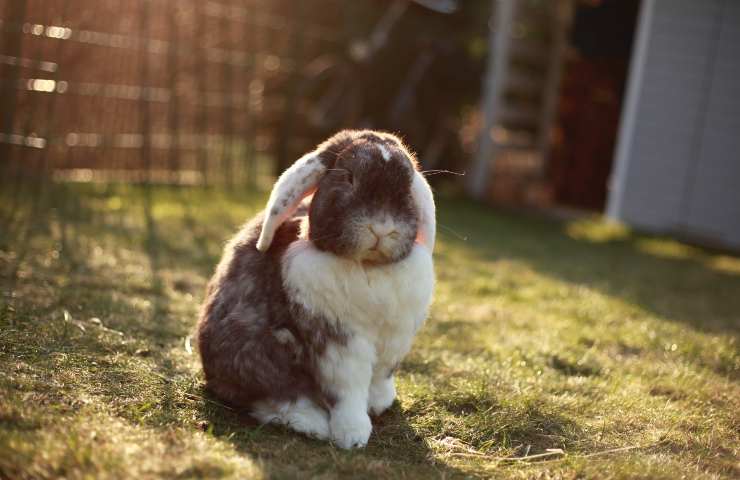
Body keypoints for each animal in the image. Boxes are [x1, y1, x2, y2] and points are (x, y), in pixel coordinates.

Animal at [197, 129, 436, 448]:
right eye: (349, 177)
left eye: (408, 185)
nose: (382, 228)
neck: (368, 267)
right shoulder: (337, 341)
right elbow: (348, 389)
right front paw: (353, 435)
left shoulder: (393, 340)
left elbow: (380, 377)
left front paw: (379, 403)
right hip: (258, 354)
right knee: (276, 397)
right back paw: (313, 424)